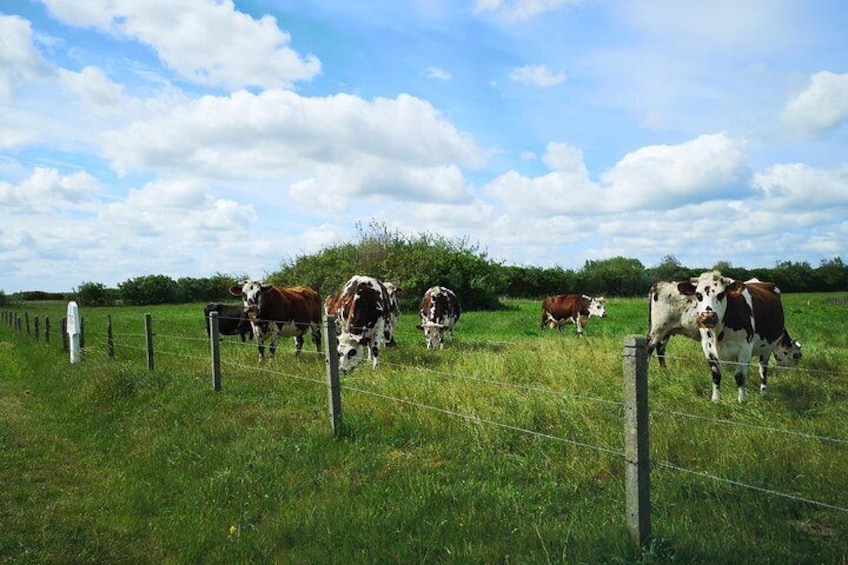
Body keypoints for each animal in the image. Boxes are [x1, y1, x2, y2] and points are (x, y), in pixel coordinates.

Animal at [644, 278, 804, 370]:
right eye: (796, 356)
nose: (793, 373)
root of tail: (659, 284)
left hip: (667, 330)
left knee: (660, 349)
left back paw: (665, 371)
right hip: (658, 328)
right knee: (649, 347)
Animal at [676, 268, 796, 400]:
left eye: (721, 294)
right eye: (698, 295)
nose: (708, 317)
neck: (718, 334)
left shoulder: (745, 347)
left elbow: (739, 376)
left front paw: (742, 400)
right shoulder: (707, 348)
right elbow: (716, 375)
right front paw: (715, 400)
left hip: (767, 348)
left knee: (763, 369)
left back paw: (764, 391)